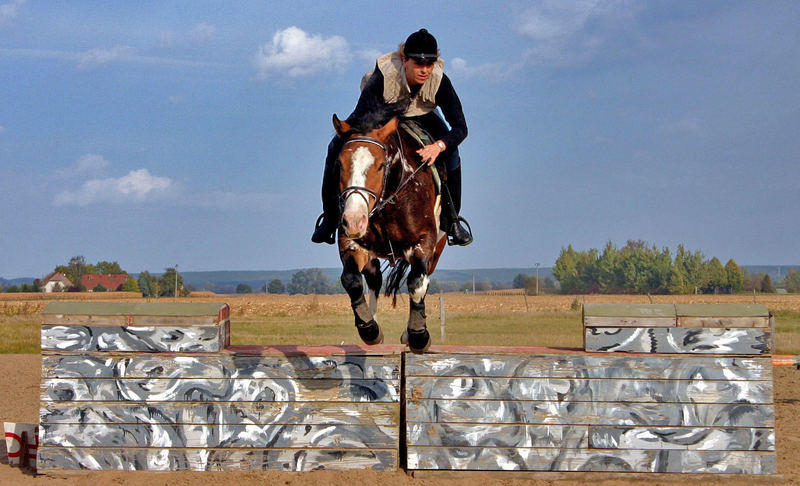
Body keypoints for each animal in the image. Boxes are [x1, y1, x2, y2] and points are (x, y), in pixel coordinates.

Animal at [330, 113, 446, 354]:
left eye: (381, 165)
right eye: (339, 164)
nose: (354, 220)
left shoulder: (424, 242)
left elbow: (417, 283)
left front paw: (418, 336)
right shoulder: (352, 242)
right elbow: (352, 280)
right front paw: (369, 329)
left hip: (436, 250)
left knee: (423, 278)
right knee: (374, 278)